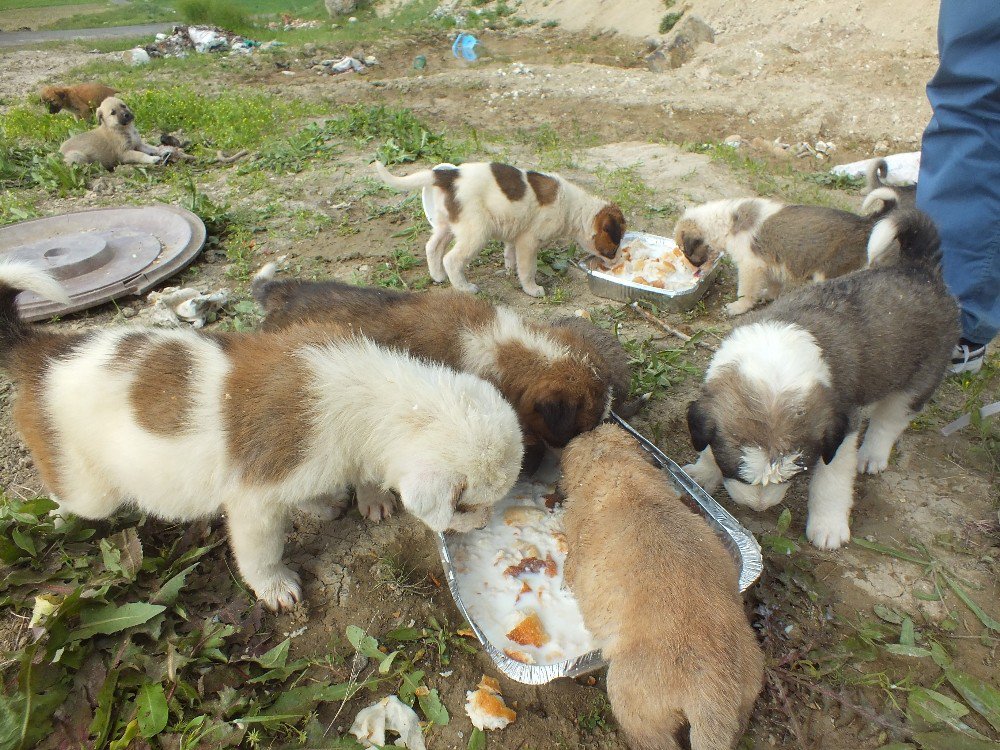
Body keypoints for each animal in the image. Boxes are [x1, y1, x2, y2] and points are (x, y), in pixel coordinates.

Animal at [0, 262, 528, 612]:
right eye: (467, 505)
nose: (485, 524)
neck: (375, 394)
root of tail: (40, 352)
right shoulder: (254, 504)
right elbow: (262, 552)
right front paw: (275, 586)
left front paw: (351, 499)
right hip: (89, 487)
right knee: (73, 497)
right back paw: (58, 516)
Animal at [376, 162, 624, 300]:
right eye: (614, 248)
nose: (617, 263)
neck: (574, 208)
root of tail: (448, 175)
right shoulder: (529, 241)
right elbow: (528, 269)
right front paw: (532, 289)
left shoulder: (515, 236)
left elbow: (510, 255)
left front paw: (508, 270)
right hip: (476, 232)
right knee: (451, 259)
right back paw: (465, 288)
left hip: (448, 225)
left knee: (432, 247)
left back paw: (437, 276)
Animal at [672, 195, 900, 316]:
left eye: (684, 250)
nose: (694, 269)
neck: (725, 223)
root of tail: (866, 224)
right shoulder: (770, 263)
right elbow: (773, 284)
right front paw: (769, 296)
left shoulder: (750, 266)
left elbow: (745, 292)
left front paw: (738, 307)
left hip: (829, 273)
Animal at [684, 212, 956, 552]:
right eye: (737, 471)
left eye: (792, 476)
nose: (758, 507)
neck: (775, 359)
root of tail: (921, 268)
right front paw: (703, 472)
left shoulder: (842, 427)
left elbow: (832, 481)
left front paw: (828, 527)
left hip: (921, 377)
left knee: (889, 421)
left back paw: (871, 455)